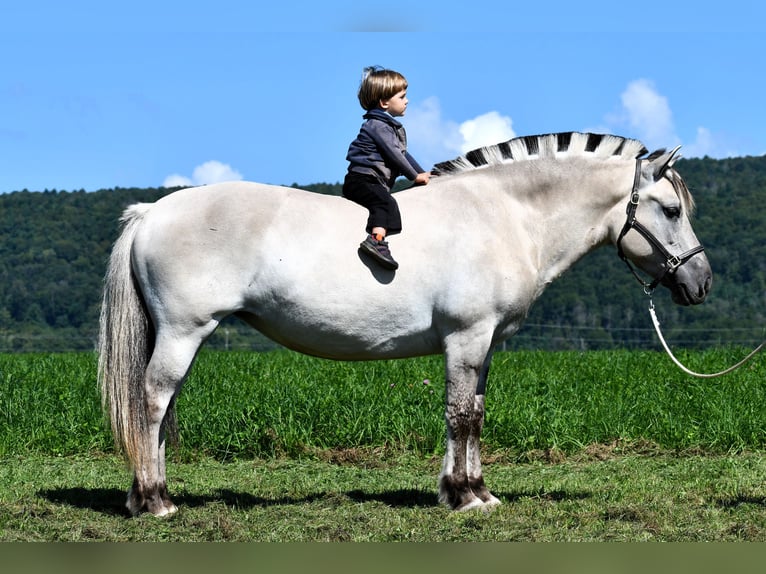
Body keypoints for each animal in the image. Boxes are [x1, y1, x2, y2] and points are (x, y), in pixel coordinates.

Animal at [100, 132, 712, 516]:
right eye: (671, 210)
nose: (701, 282)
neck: (505, 215)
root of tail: (151, 212)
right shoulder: (466, 338)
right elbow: (461, 415)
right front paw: (464, 497)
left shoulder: (483, 346)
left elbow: (473, 415)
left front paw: (475, 491)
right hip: (184, 332)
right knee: (151, 401)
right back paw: (155, 501)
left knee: (156, 410)